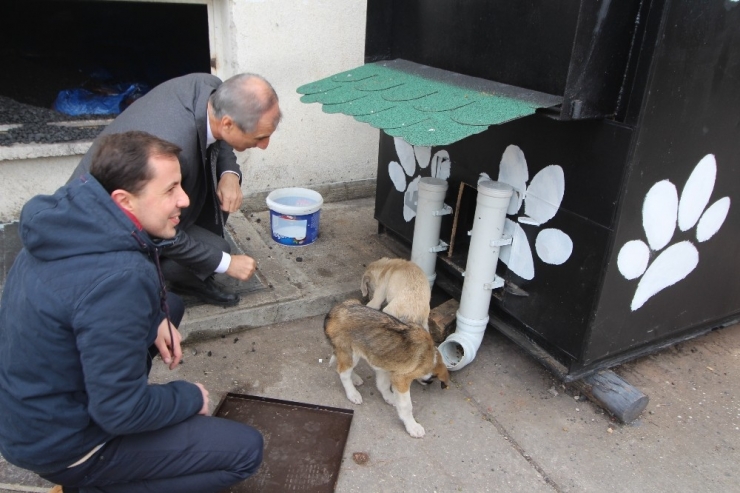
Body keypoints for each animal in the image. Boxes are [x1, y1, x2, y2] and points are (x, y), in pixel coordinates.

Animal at [326, 298, 450, 436]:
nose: (428, 383)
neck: (431, 357)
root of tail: (336, 310)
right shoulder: (401, 379)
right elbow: (406, 406)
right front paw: (412, 426)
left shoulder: (384, 366)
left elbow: (383, 385)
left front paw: (389, 397)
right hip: (350, 352)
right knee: (343, 373)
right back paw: (352, 393)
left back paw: (355, 378)